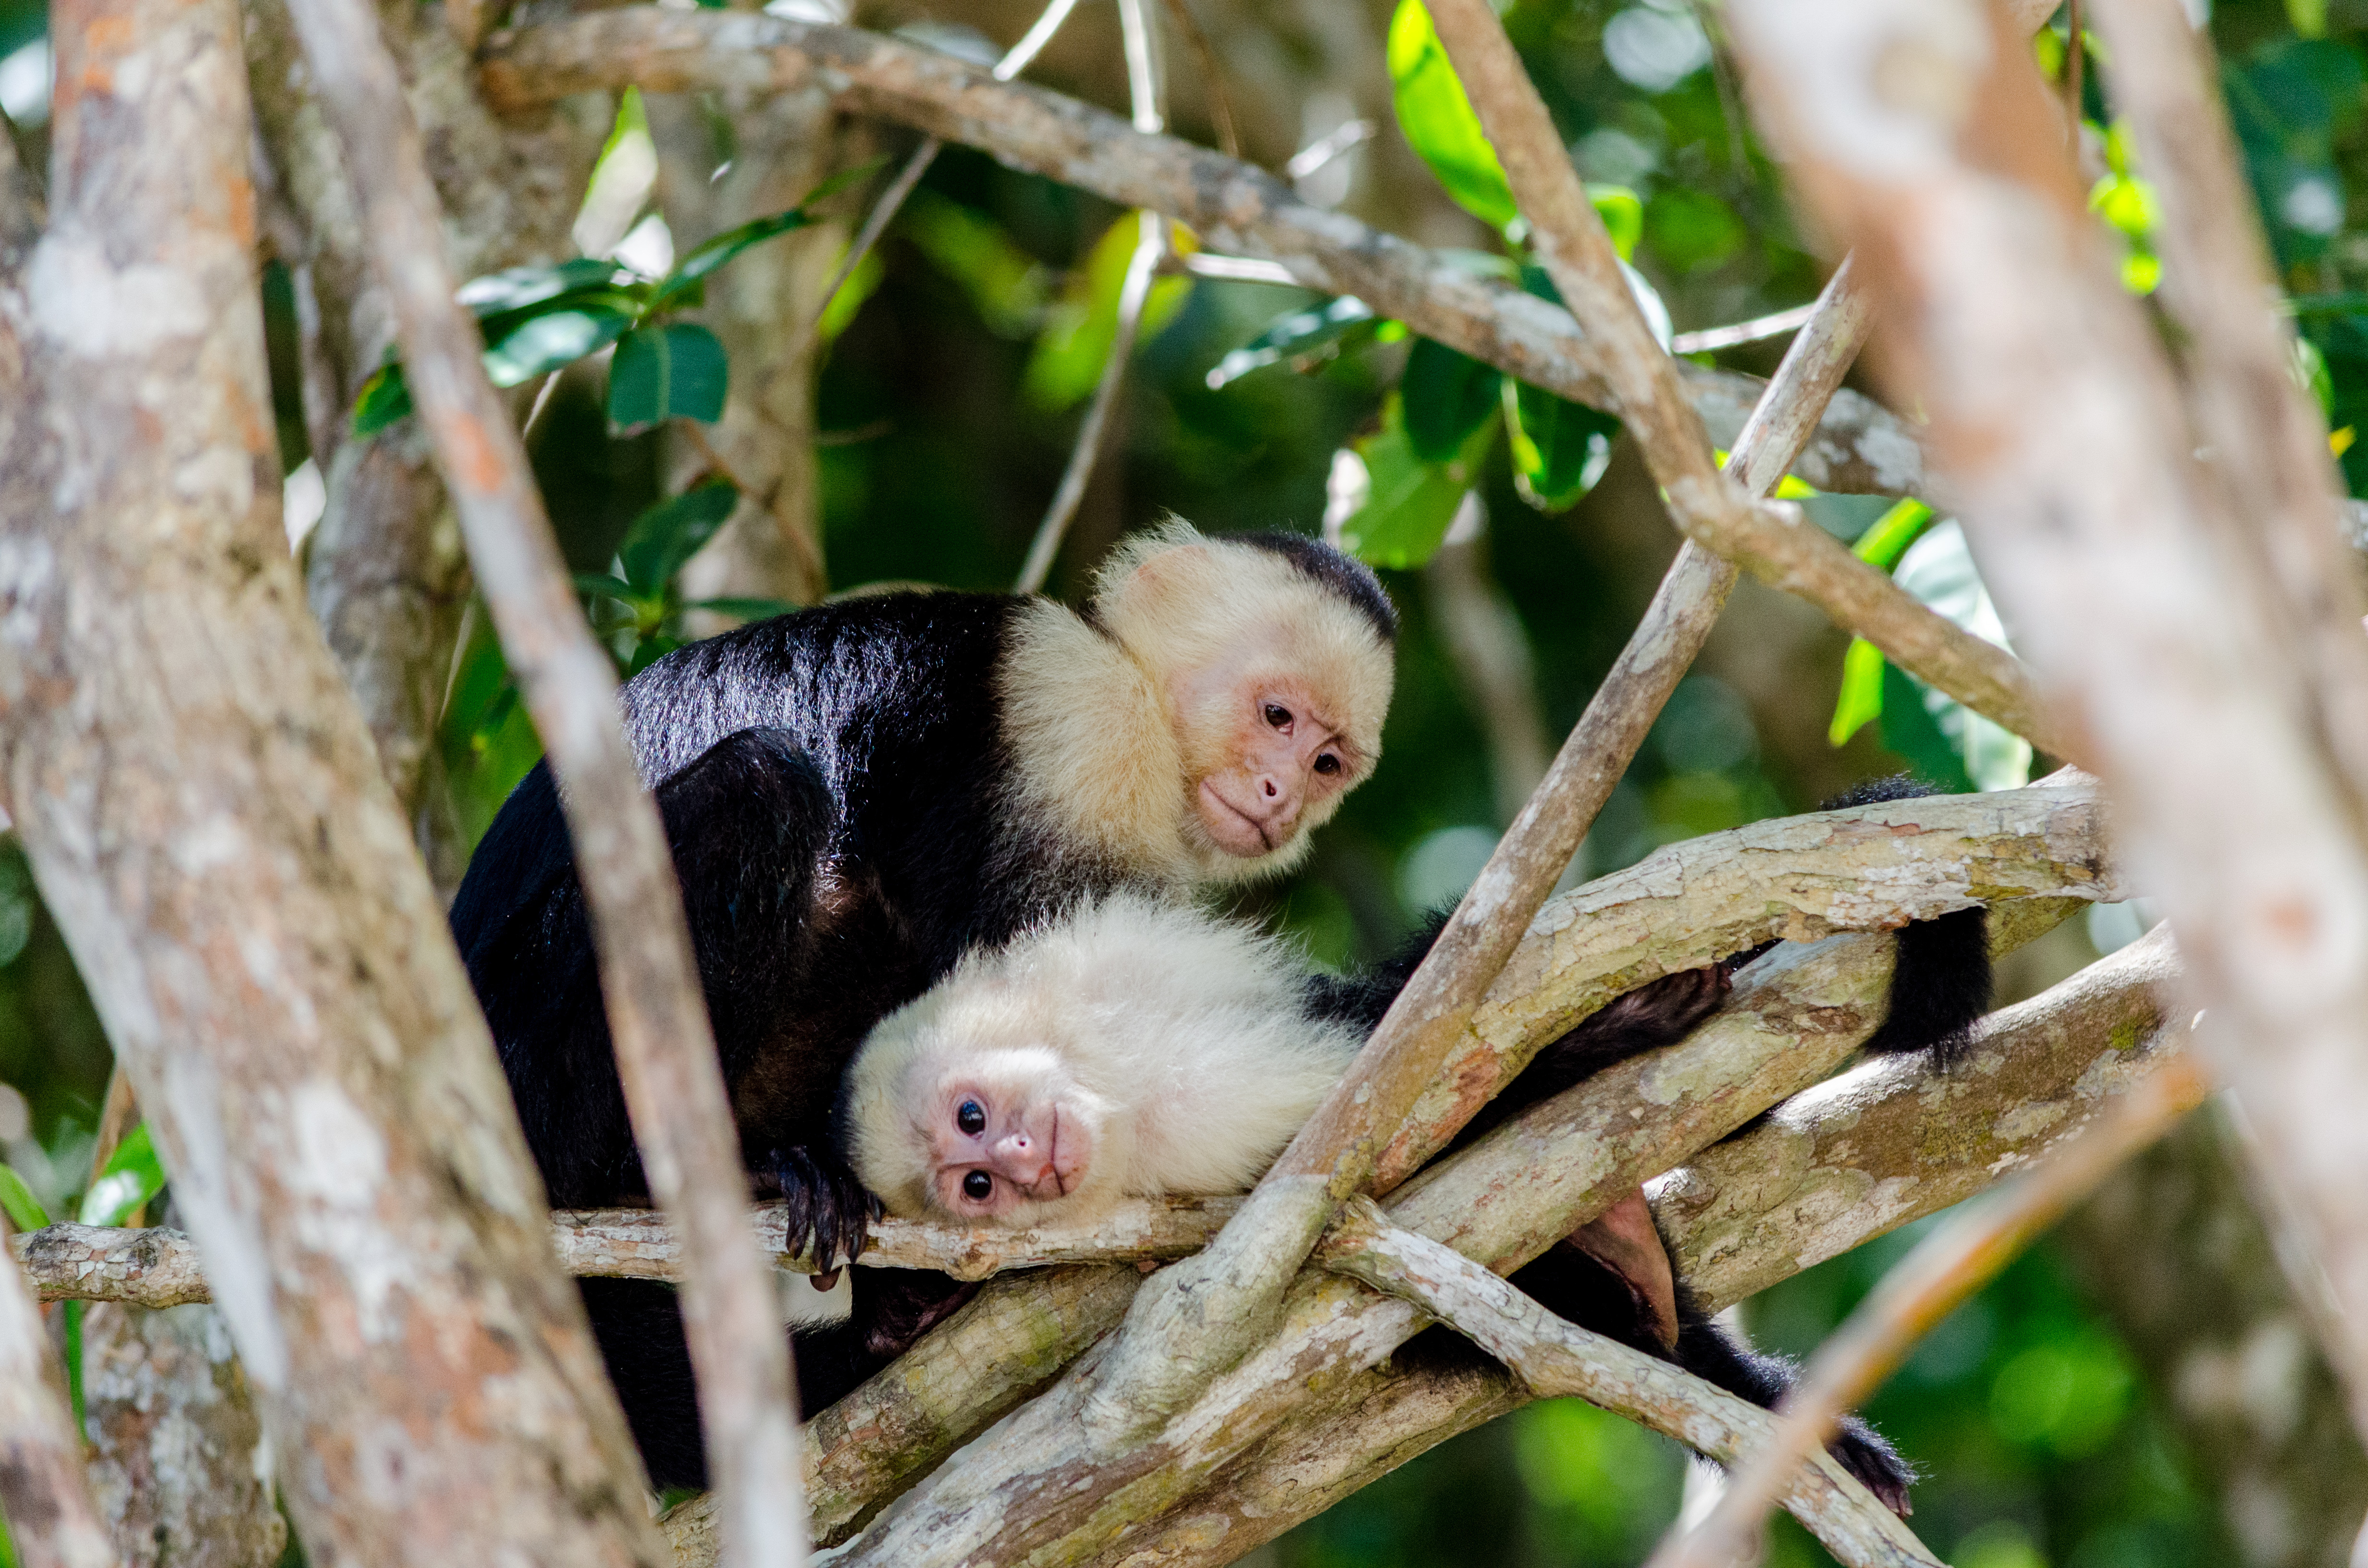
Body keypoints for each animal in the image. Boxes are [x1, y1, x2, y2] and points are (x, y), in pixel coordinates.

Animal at [448, 521, 1401, 1488]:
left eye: (1327, 762)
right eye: (1276, 716)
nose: (1283, 795)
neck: (1130, 679)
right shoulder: (1078, 723)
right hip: (524, 1057)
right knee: (758, 789)